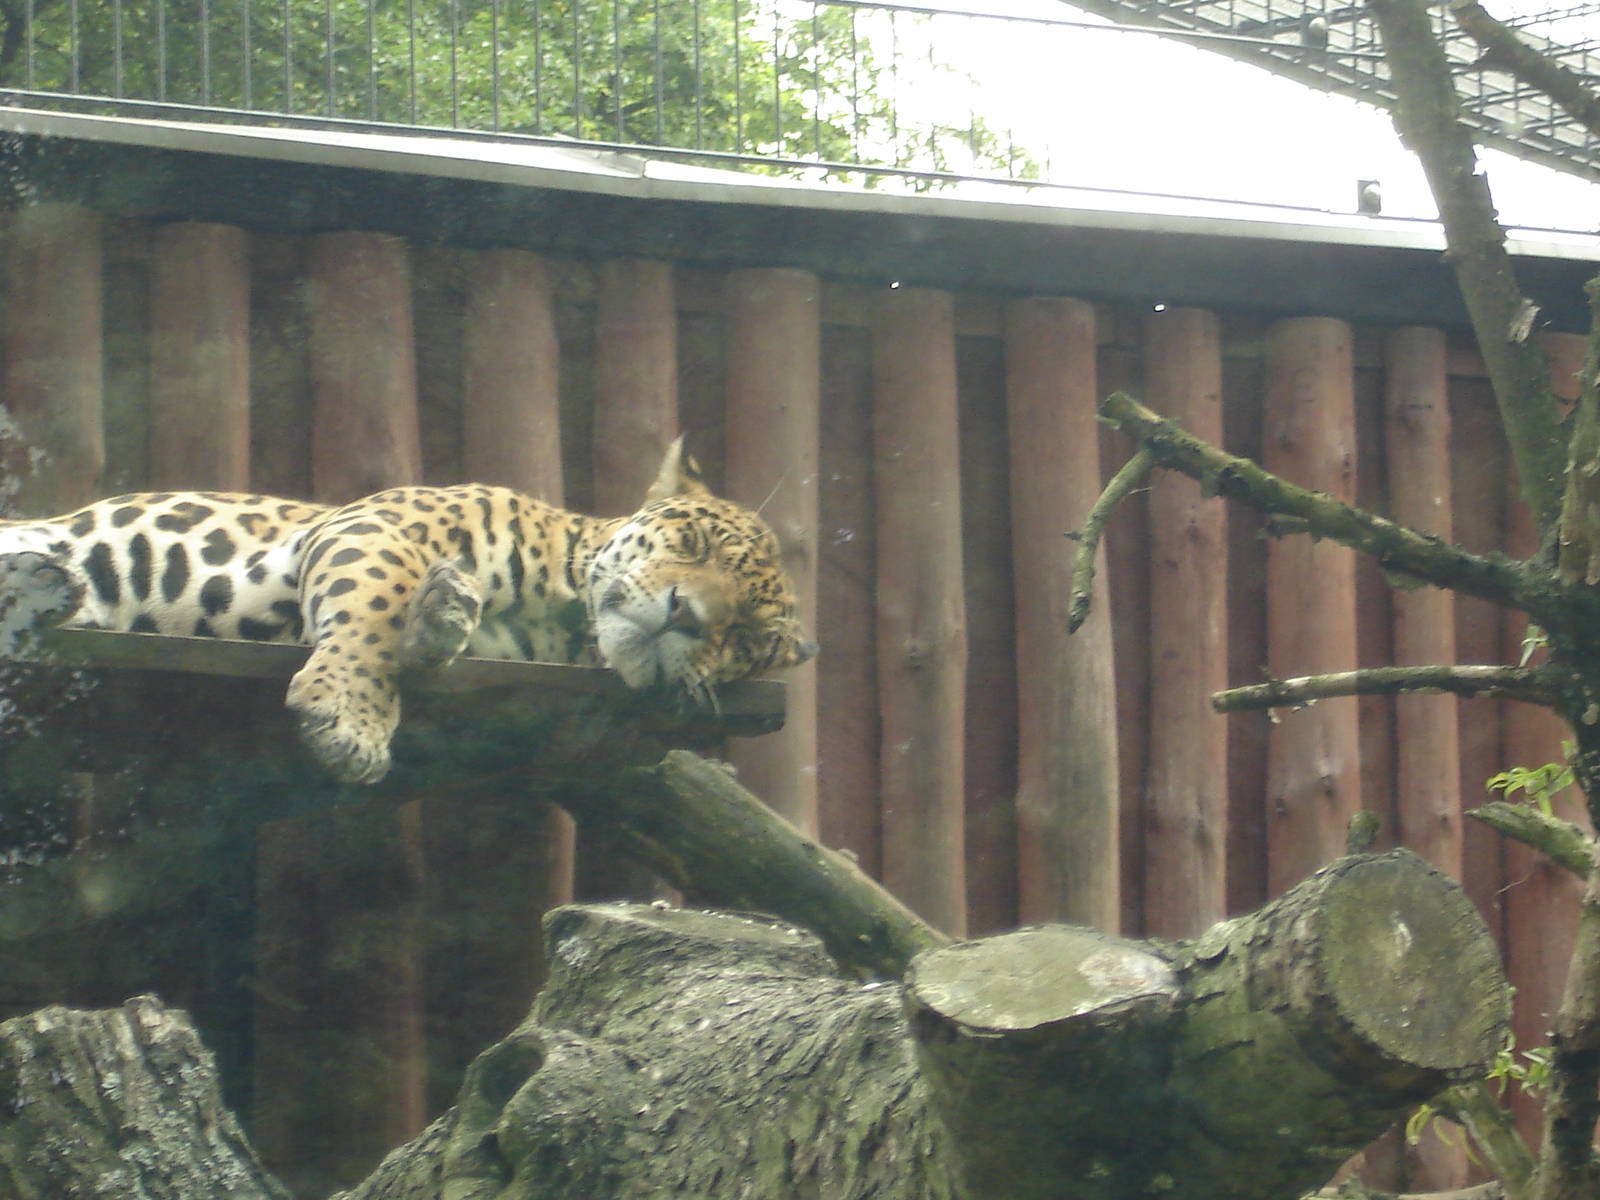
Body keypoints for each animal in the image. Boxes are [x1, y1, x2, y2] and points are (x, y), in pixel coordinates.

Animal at [0, 439, 816, 784]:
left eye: (745, 639)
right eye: (694, 542)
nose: (686, 614)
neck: (562, 616)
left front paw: (440, 621)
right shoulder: (378, 527)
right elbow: (372, 610)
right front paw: (350, 717)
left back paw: (42, 586)